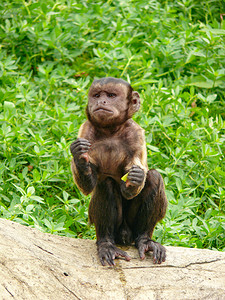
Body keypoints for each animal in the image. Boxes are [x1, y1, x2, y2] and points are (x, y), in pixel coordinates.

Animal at [70, 77, 167, 264]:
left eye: (111, 95)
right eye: (97, 95)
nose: (101, 101)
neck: (111, 130)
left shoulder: (136, 133)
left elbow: (134, 184)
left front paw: (136, 178)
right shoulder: (86, 130)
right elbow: (88, 187)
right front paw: (79, 156)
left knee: (154, 177)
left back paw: (144, 240)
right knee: (105, 183)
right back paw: (106, 243)